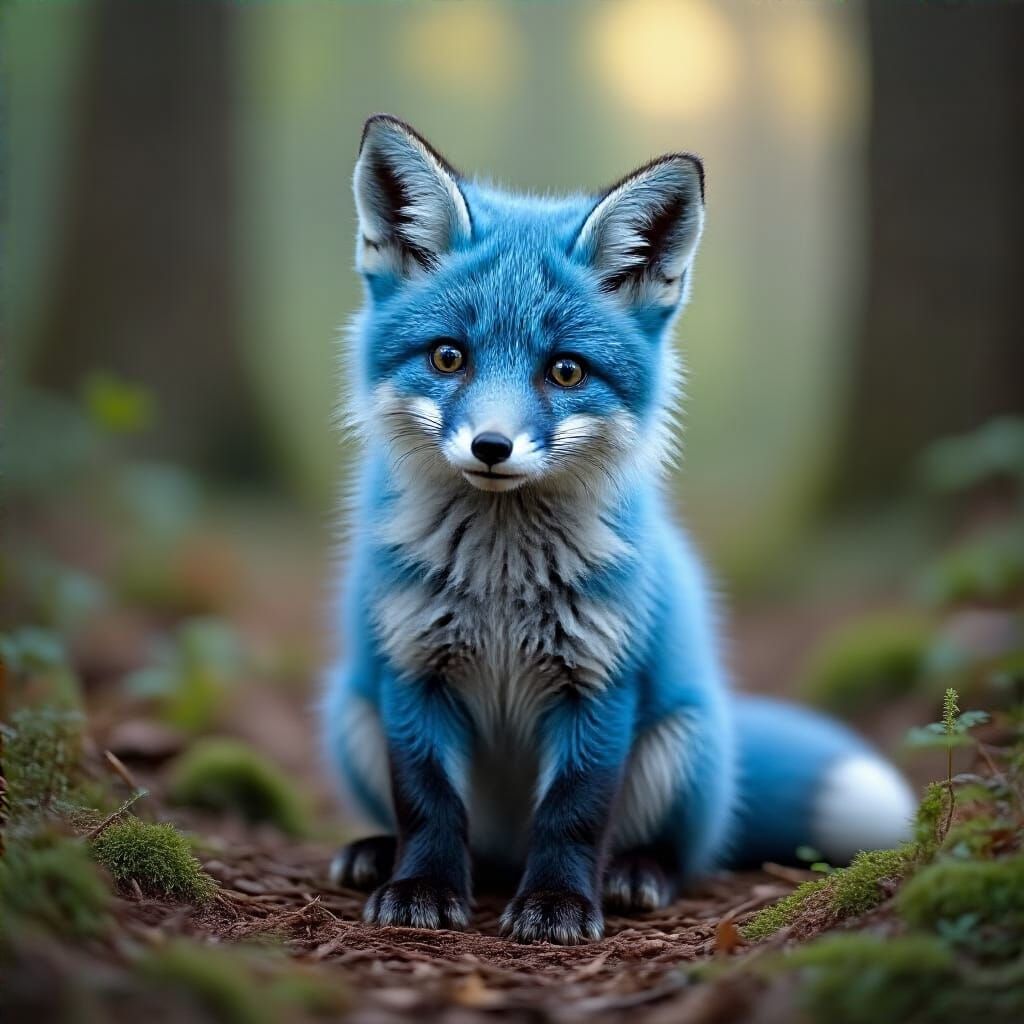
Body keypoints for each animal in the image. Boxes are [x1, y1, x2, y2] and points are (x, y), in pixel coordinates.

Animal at [322, 114, 916, 945]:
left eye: (566, 371)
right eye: (447, 357)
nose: (492, 447)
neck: (500, 590)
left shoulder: (601, 678)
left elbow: (573, 813)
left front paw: (557, 904)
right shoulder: (410, 667)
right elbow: (428, 804)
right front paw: (423, 888)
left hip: (680, 743)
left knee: (682, 851)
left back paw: (636, 873)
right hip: (353, 711)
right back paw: (378, 852)